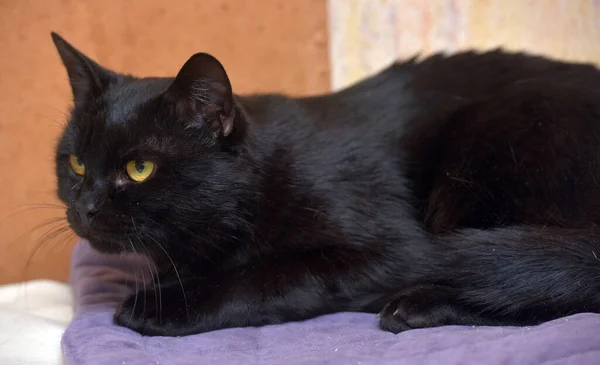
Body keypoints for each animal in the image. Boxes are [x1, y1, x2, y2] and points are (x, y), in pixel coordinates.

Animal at [50, 32, 600, 334]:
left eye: (139, 168)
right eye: (75, 163)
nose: (86, 206)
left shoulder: (385, 248)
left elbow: (274, 275)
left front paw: (166, 305)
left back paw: (418, 306)